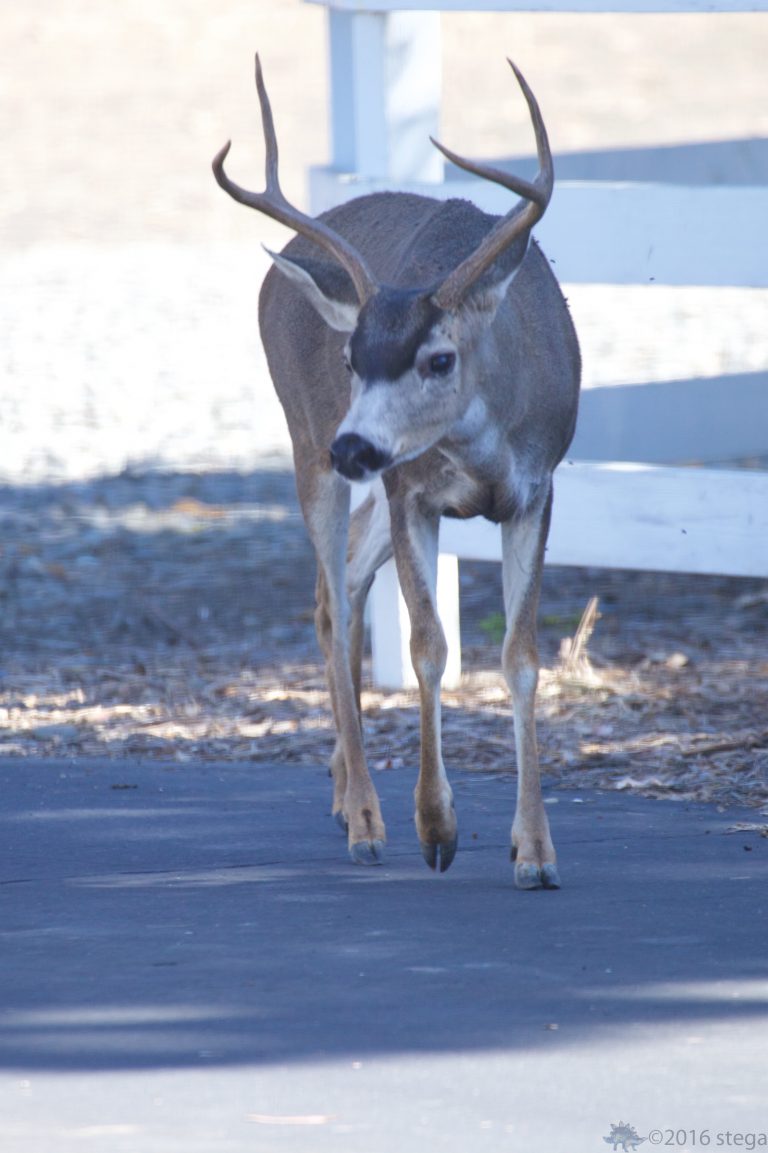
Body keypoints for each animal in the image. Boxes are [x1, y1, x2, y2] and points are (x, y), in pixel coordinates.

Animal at [213, 55, 580, 888]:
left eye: (438, 358)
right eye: (352, 359)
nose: (353, 444)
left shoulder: (537, 488)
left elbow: (521, 659)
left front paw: (536, 851)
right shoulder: (412, 491)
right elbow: (428, 647)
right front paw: (437, 827)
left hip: (371, 487)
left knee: (344, 580)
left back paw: (343, 792)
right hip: (306, 440)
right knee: (332, 601)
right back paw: (366, 818)